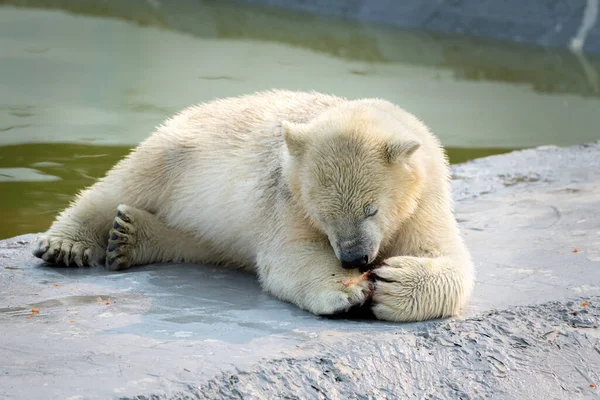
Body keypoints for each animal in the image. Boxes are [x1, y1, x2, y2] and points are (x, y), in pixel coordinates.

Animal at [32, 90, 474, 322]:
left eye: (372, 209)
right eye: (324, 215)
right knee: (124, 182)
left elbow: (445, 256)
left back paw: (130, 238)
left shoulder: (427, 197)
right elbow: (290, 254)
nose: (354, 259)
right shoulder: (288, 195)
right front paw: (348, 291)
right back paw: (66, 244)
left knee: (208, 242)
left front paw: (392, 281)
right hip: (181, 151)